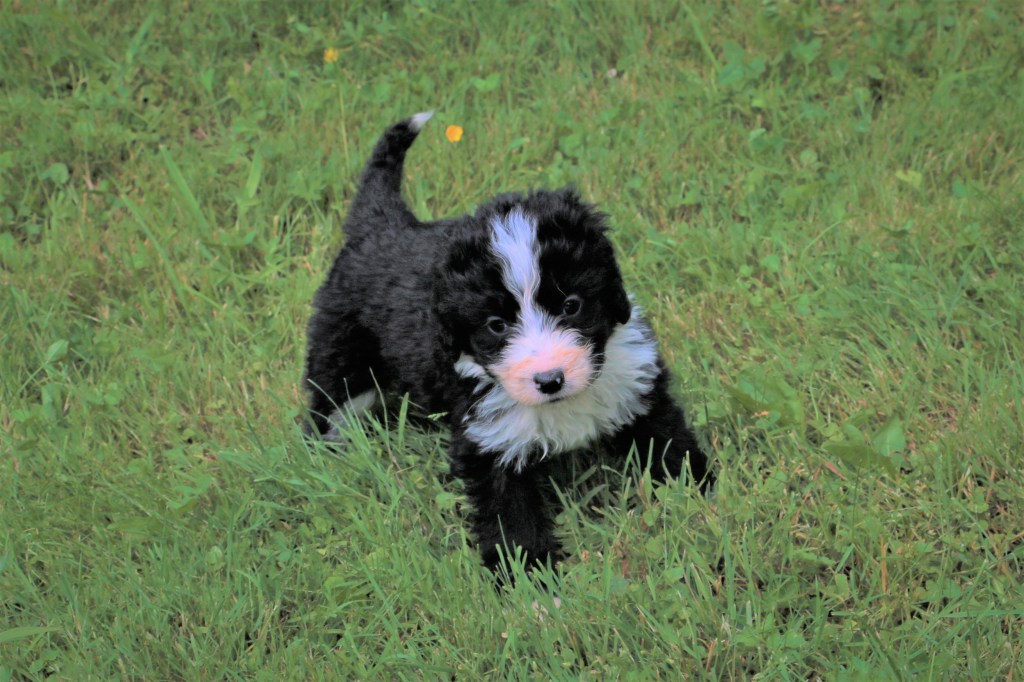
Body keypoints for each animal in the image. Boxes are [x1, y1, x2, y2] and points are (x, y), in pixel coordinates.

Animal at [304, 112, 710, 572]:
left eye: (571, 305)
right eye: (497, 325)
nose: (549, 380)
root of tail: (381, 224)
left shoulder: (635, 385)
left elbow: (668, 443)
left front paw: (701, 496)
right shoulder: (489, 438)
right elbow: (510, 513)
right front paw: (528, 573)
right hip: (340, 354)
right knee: (331, 405)